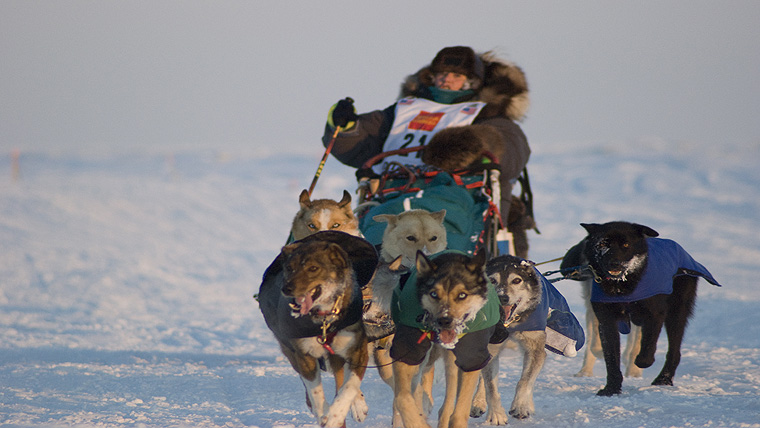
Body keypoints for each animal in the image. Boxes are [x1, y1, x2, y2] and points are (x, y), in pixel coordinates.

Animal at [258, 232, 380, 426]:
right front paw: (324, 413)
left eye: (313, 268)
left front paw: (336, 414)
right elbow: (315, 392)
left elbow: (350, 386)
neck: (324, 319)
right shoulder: (304, 355)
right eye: (290, 268)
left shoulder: (357, 349)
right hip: (291, 352)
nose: (287, 288)